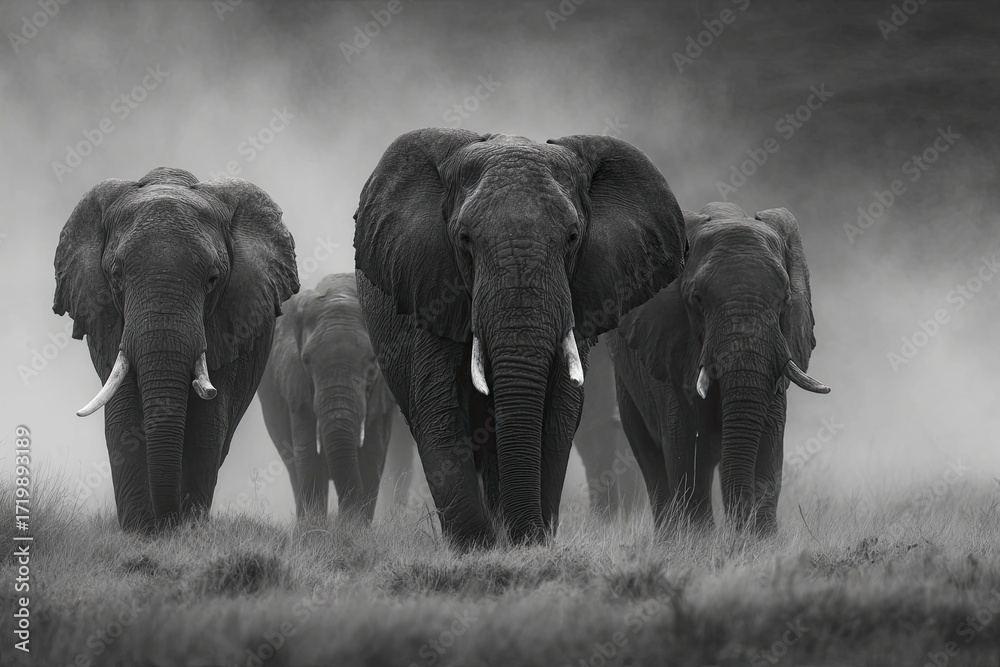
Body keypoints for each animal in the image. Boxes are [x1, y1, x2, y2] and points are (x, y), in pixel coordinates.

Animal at [53, 167, 299, 532]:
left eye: (213, 279)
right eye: (116, 276)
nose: (168, 523)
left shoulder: (230, 320)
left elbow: (207, 427)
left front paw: (186, 530)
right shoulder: (105, 319)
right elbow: (123, 420)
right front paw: (141, 532)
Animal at [257, 273, 396, 522]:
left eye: (372, 362)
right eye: (306, 361)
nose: (344, 520)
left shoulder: (381, 394)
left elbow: (373, 455)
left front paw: (355, 526)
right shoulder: (296, 386)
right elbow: (307, 454)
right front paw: (315, 529)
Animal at [607, 203, 829, 534]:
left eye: (786, 298)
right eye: (696, 299)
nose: (739, 530)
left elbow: (770, 437)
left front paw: (762, 539)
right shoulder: (668, 344)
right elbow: (682, 440)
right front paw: (698, 540)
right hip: (625, 378)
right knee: (650, 455)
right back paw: (670, 537)